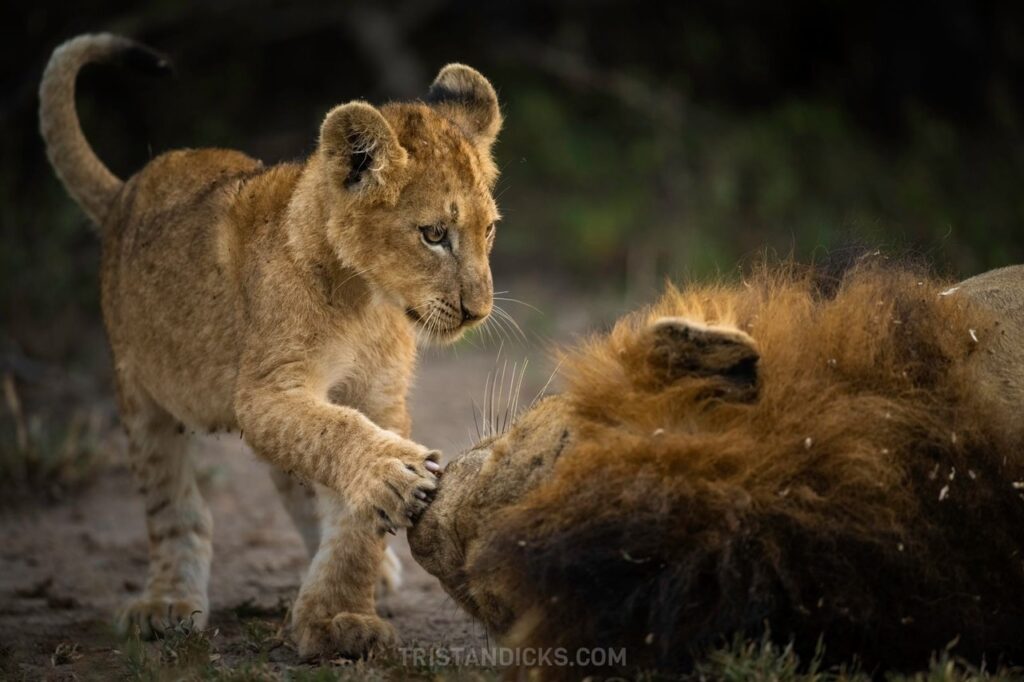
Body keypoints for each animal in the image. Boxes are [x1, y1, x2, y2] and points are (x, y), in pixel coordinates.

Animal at [40, 33, 502, 657]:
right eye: (433, 235)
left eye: (489, 230)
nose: (479, 310)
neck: (365, 299)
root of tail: (124, 191)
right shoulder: (263, 392)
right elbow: (339, 434)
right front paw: (391, 476)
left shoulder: (380, 398)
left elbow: (351, 515)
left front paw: (337, 618)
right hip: (140, 395)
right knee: (175, 509)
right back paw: (166, 603)